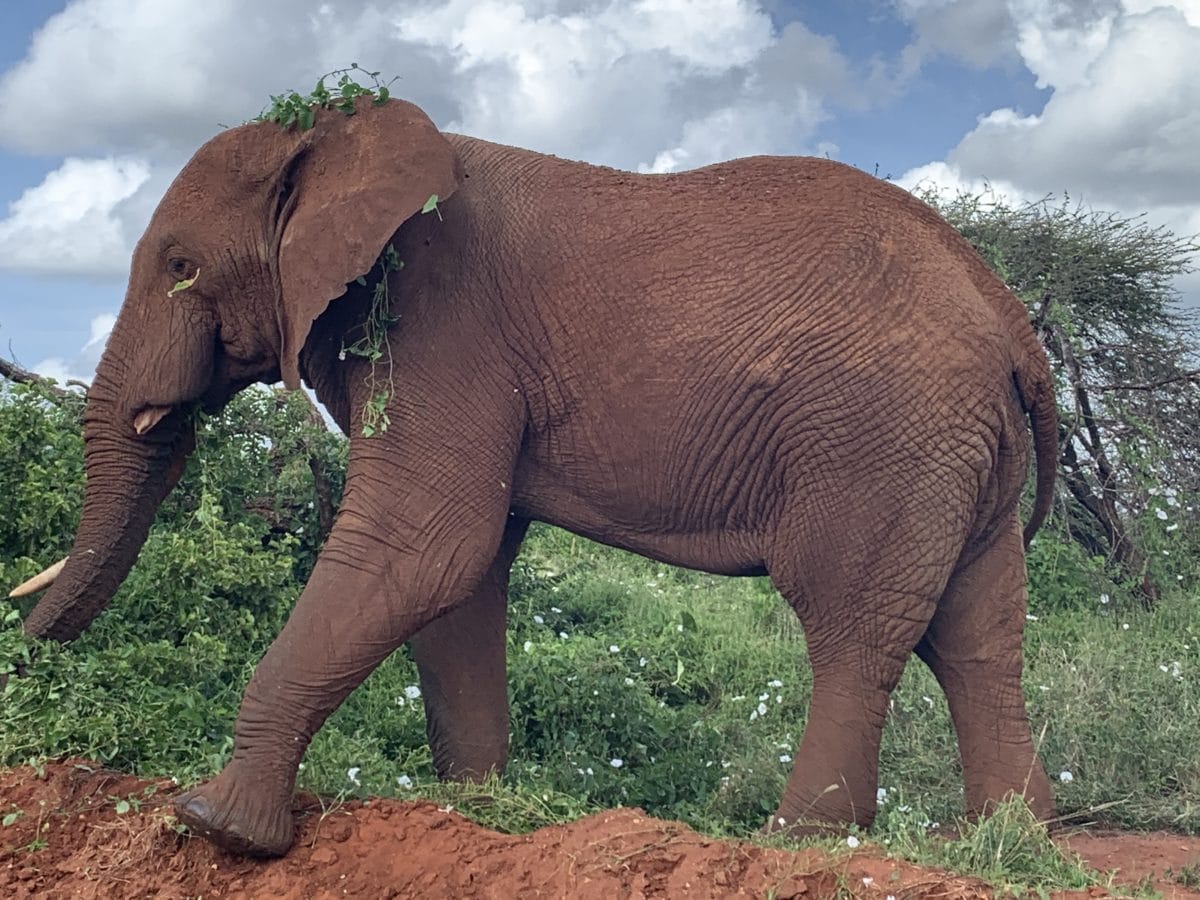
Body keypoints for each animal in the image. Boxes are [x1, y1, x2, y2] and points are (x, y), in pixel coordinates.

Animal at [13, 96, 1058, 856]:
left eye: (179, 266)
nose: (23, 651)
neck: (342, 135)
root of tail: (1009, 316)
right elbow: (461, 574)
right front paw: (473, 807)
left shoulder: (443, 324)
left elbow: (424, 545)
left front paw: (216, 827)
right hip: (958, 450)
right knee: (977, 636)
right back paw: (1009, 842)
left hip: (881, 439)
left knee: (851, 623)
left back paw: (800, 841)